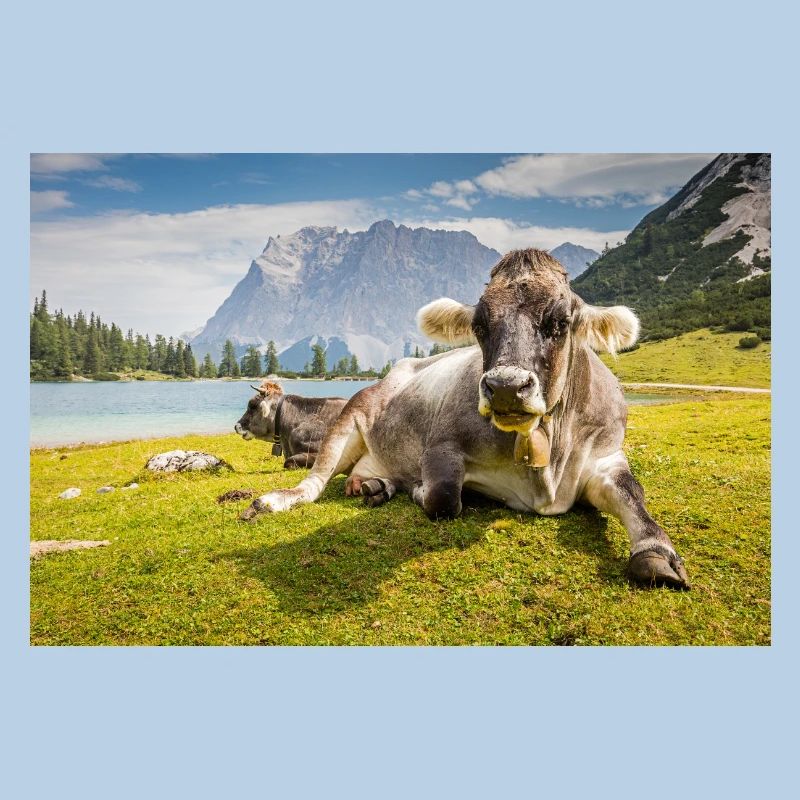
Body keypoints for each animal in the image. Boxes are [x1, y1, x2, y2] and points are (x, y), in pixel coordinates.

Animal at [239, 249, 690, 589]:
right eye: (479, 324)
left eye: (561, 322)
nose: (506, 386)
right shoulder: (441, 447)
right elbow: (442, 499)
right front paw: (420, 491)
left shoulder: (607, 455)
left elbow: (634, 495)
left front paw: (656, 552)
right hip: (351, 417)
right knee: (313, 483)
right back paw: (275, 500)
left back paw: (375, 486)